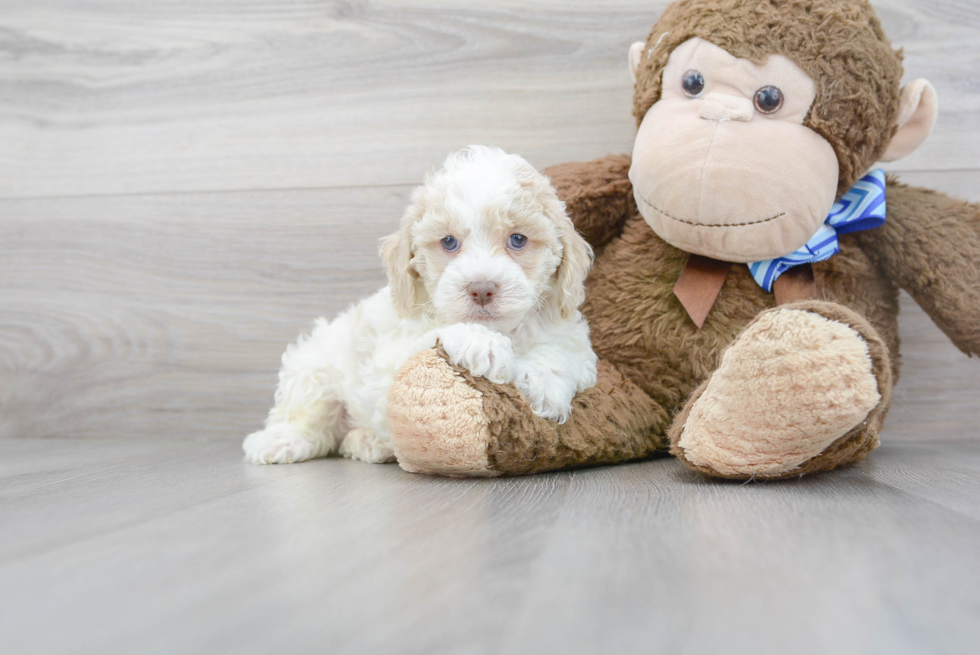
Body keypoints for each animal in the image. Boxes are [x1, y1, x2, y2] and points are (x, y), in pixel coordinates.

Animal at [245, 147, 596, 466]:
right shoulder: (389, 358)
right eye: (449, 242)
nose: (482, 289)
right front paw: (480, 341)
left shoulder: (570, 335)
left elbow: (563, 352)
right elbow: (430, 339)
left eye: (518, 239)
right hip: (314, 365)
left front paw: (543, 382)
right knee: (309, 416)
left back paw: (367, 442)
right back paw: (281, 440)